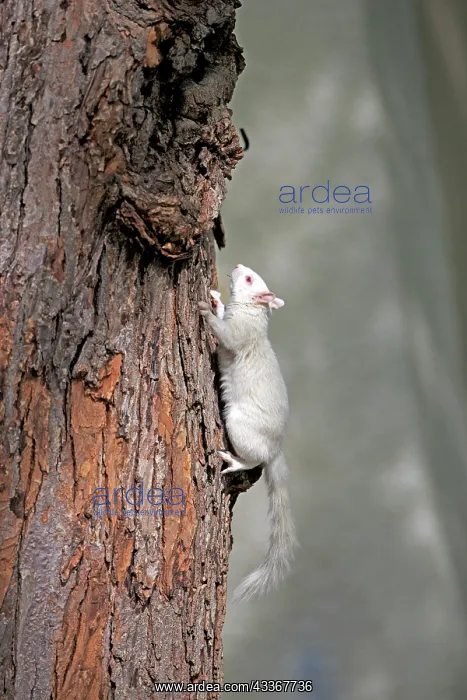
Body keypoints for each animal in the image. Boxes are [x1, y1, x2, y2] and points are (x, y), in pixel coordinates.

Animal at [199, 264, 296, 601]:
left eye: (251, 279)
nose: (239, 267)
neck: (252, 312)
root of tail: (275, 449)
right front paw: (216, 301)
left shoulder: (240, 334)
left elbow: (226, 335)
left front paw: (207, 311)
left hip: (240, 425)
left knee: (254, 461)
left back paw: (234, 461)